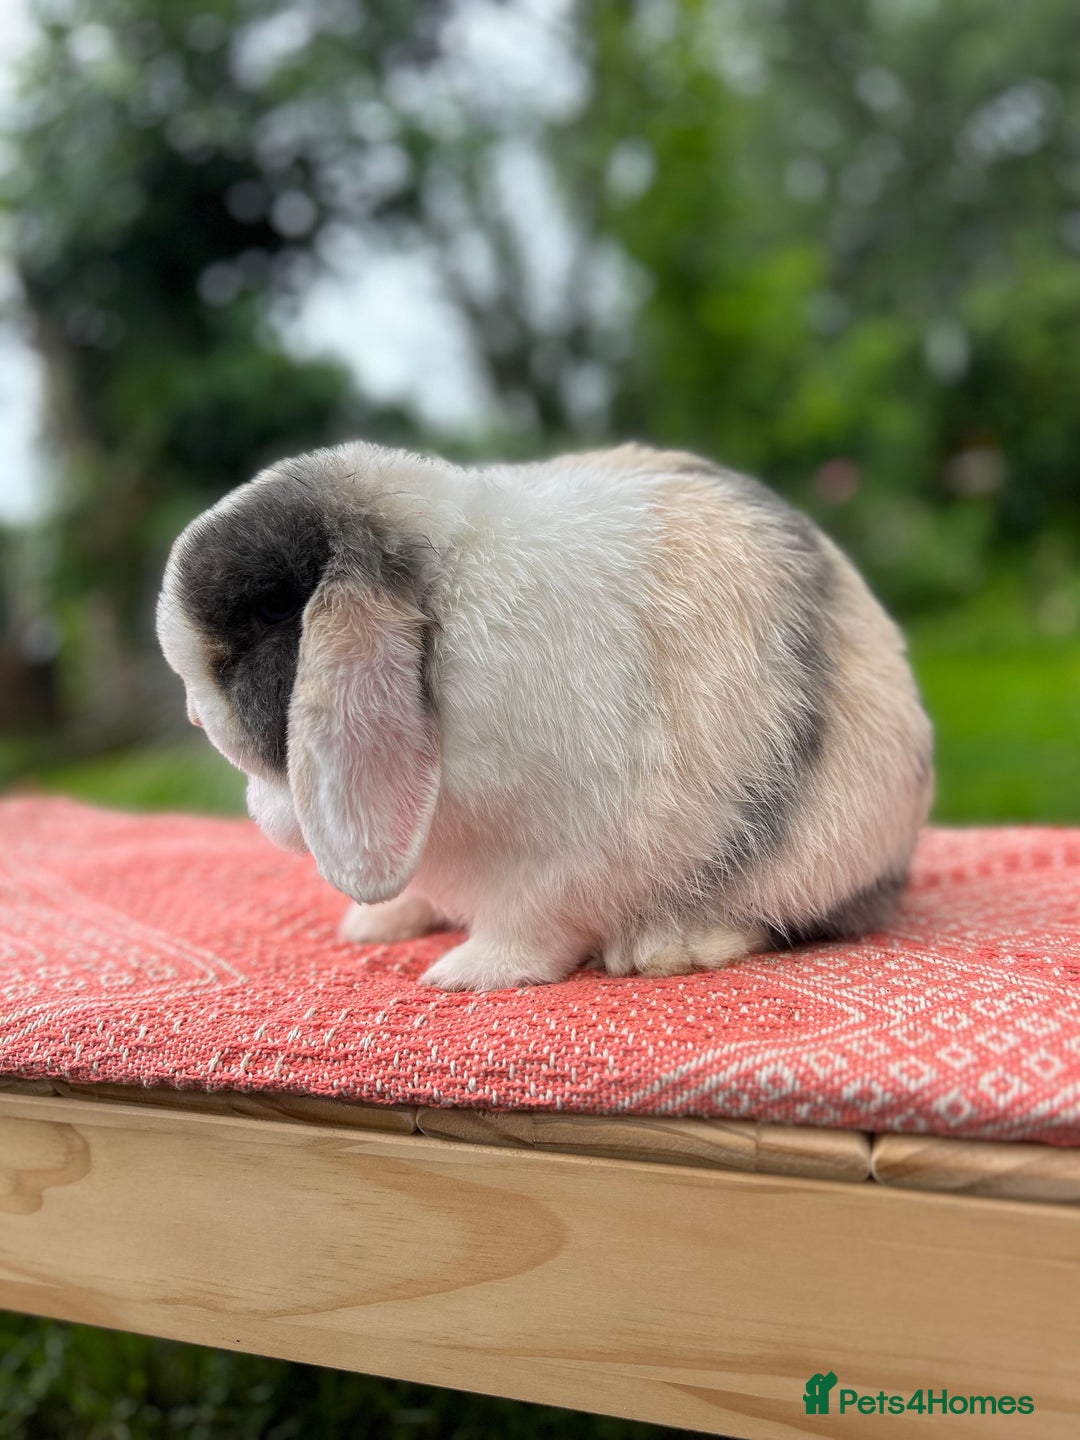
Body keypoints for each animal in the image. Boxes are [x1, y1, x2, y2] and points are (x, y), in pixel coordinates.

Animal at [156, 440, 933, 992]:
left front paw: (464, 975)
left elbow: (528, 926)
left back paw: (663, 948)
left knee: (777, 916)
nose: (190, 714)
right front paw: (384, 929)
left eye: (270, 610)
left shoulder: (558, 860)